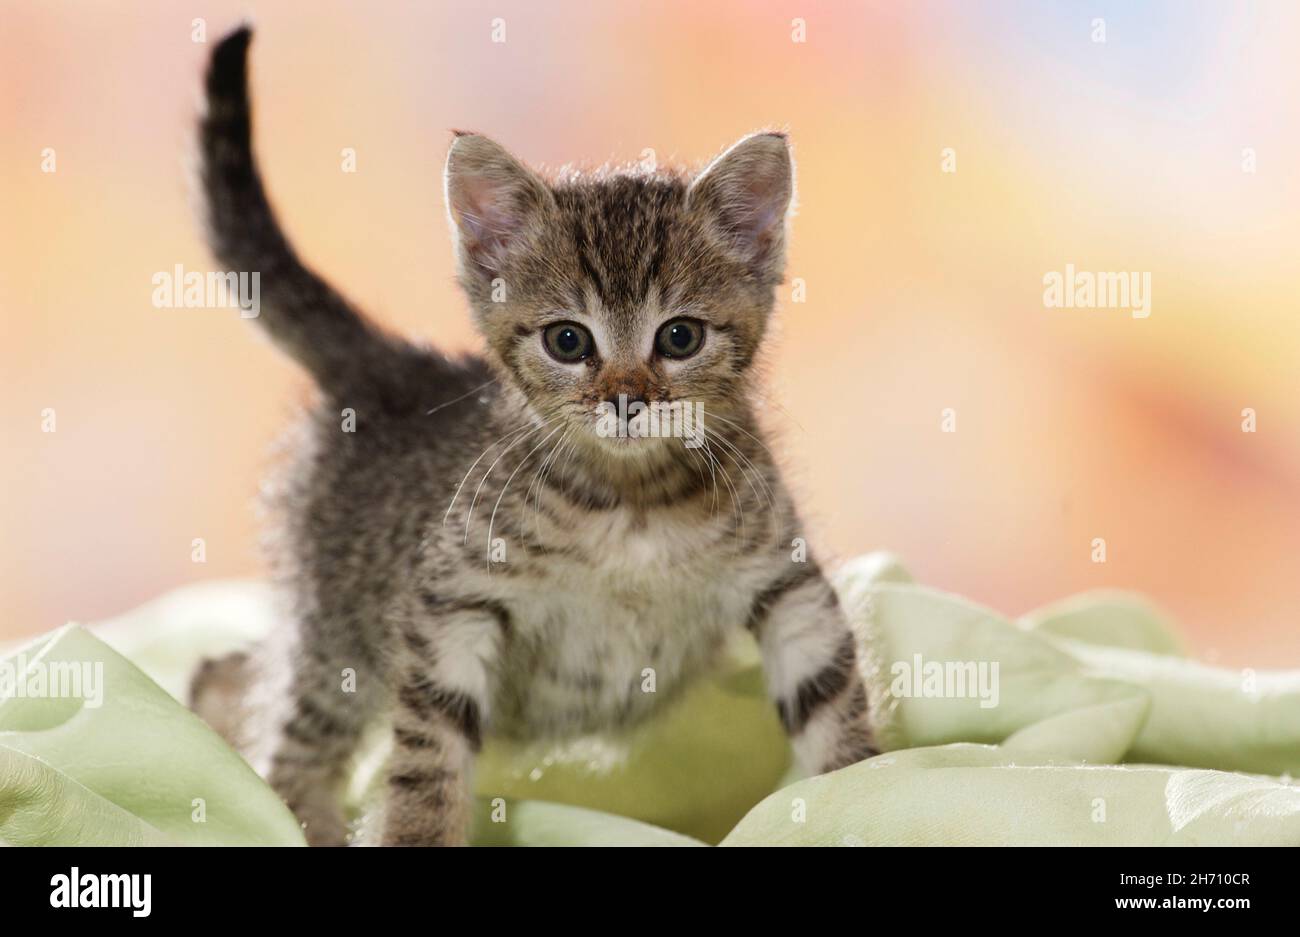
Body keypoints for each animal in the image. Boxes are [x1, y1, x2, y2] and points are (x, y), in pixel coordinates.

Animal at [188, 27, 878, 847]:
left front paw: (867, 790)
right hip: (339, 629)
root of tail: (397, 365)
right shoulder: (452, 599)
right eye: (568, 341)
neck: (632, 500)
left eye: (679, 337)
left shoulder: (784, 580)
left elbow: (832, 701)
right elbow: (428, 753)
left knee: (233, 669)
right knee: (289, 734)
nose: (626, 401)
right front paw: (417, 831)